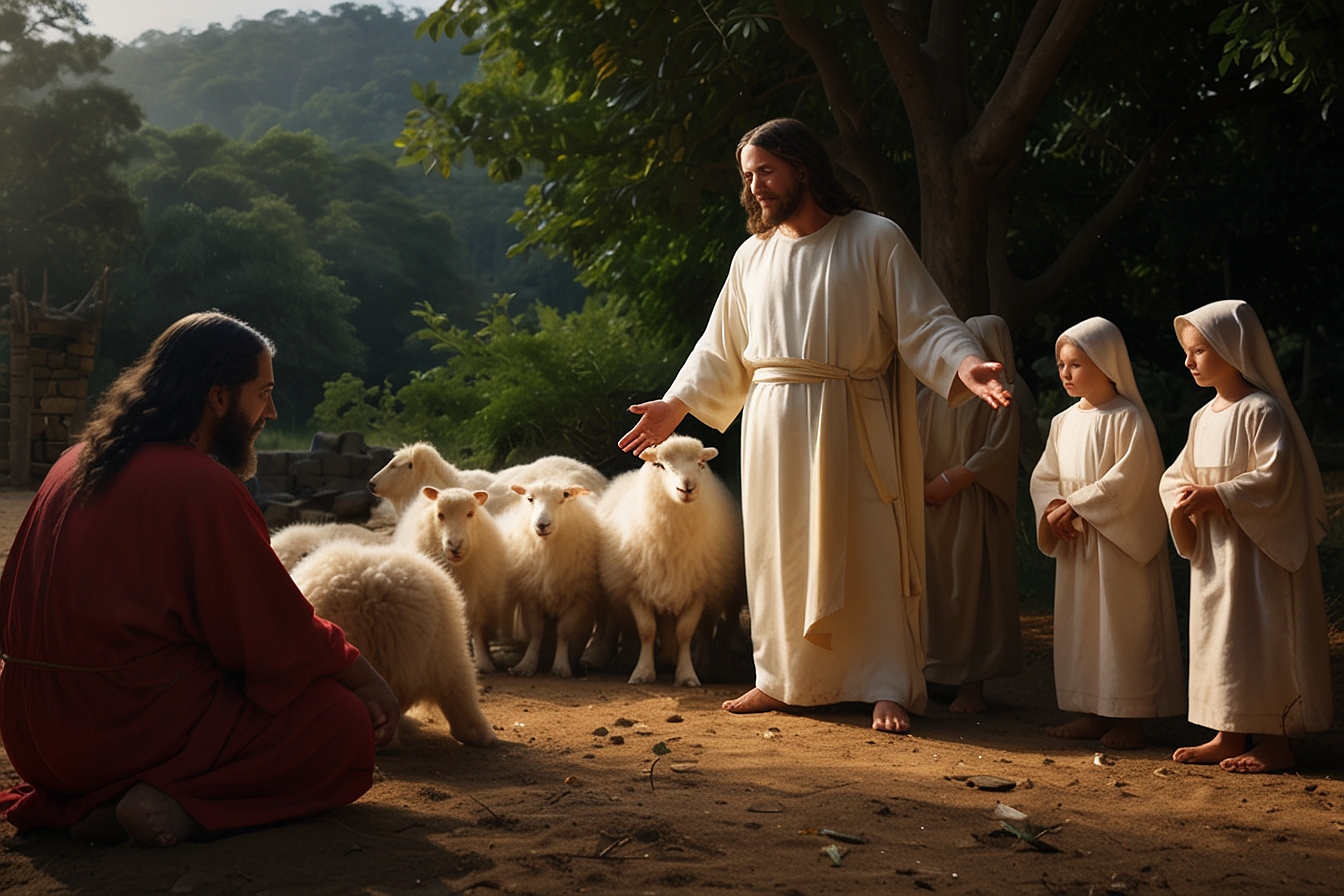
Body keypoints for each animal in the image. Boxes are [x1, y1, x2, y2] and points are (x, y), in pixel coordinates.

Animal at [392, 491, 513, 671]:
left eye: (470, 514)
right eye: (440, 515)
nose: (455, 545)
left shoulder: (479, 597)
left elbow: (477, 627)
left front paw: (484, 662)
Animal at [505, 483, 604, 679]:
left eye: (564, 496)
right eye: (530, 498)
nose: (542, 524)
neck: (547, 548)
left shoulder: (579, 598)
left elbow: (563, 631)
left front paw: (561, 666)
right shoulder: (531, 595)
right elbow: (537, 630)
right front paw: (526, 665)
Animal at [596, 435, 747, 687]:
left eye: (700, 464)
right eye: (660, 465)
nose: (687, 487)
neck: (672, 539)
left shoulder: (698, 591)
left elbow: (685, 632)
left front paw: (687, 675)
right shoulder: (635, 589)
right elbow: (647, 630)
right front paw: (642, 672)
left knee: (709, 626)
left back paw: (702, 662)